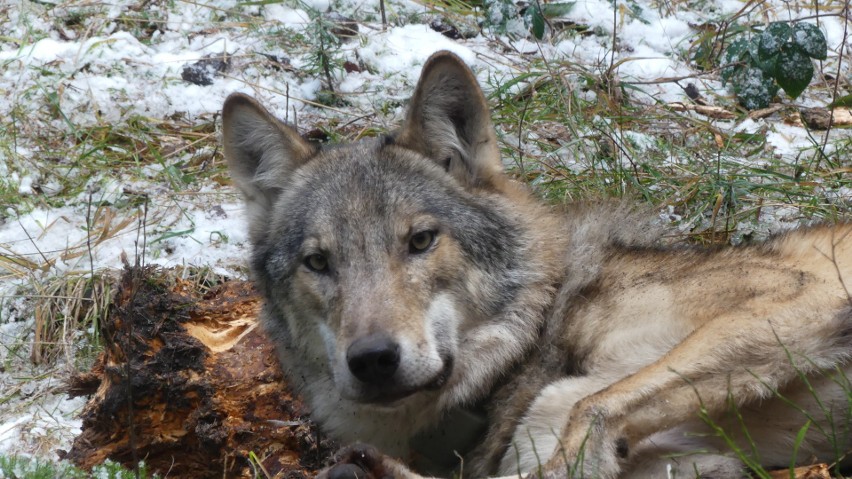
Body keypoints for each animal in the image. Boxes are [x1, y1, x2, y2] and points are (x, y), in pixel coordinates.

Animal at [223, 50, 852, 478]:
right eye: (318, 262)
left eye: (421, 240)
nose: (373, 359)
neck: (539, 332)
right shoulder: (703, 462)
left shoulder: (812, 293)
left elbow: (592, 412)